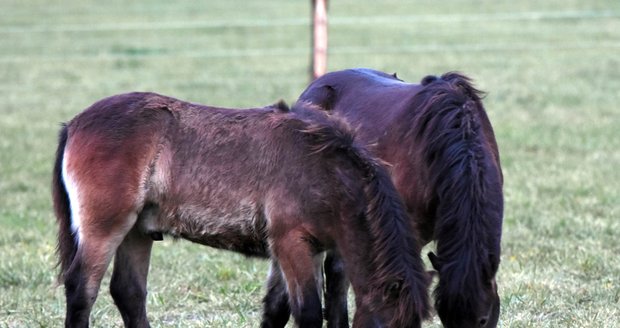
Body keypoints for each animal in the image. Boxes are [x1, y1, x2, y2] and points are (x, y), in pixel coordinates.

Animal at [52, 92, 432, 328]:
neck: (324, 171)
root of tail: (74, 124)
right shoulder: (292, 244)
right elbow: (308, 312)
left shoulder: (298, 250)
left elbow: (276, 310)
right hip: (106, 228)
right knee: (82, 289)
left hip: (137, 231)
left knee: (129, 293)